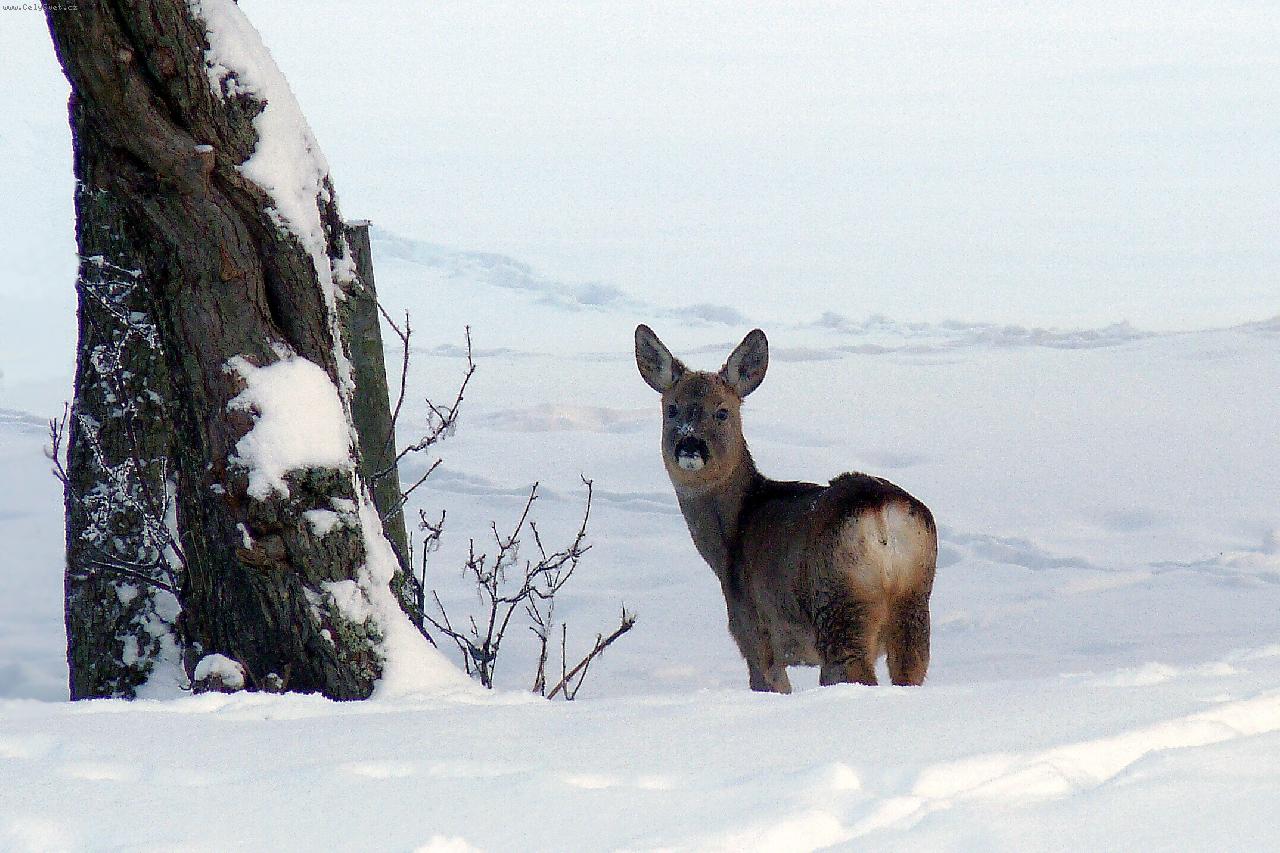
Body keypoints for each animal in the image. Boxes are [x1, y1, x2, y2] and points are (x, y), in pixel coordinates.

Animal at [635, 324, 937, 692]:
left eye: (722, 411)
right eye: (672, 409)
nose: (689, 445)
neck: (730, 539)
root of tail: (880, 514)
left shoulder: (753, 631)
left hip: (839, 605)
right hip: (915, 603)